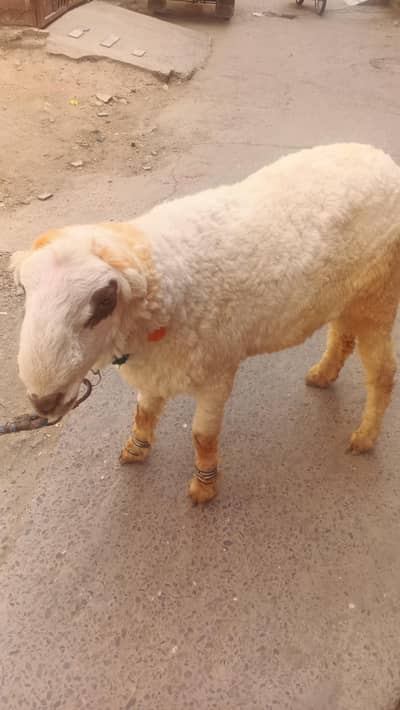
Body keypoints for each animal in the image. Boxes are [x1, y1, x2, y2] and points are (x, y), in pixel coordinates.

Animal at [12, 143, 400, 504]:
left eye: (104, 301)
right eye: (25, 290)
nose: (43, 403)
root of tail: (381, 159)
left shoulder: (217, 370)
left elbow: (202, 435)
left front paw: (203, 487)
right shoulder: (156, 368)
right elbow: (144, 411)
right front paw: (136, 448)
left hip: (378, 294)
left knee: (382, 373)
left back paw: (365, 437)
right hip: (347, 294)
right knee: (342, 336)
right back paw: (323, 374)